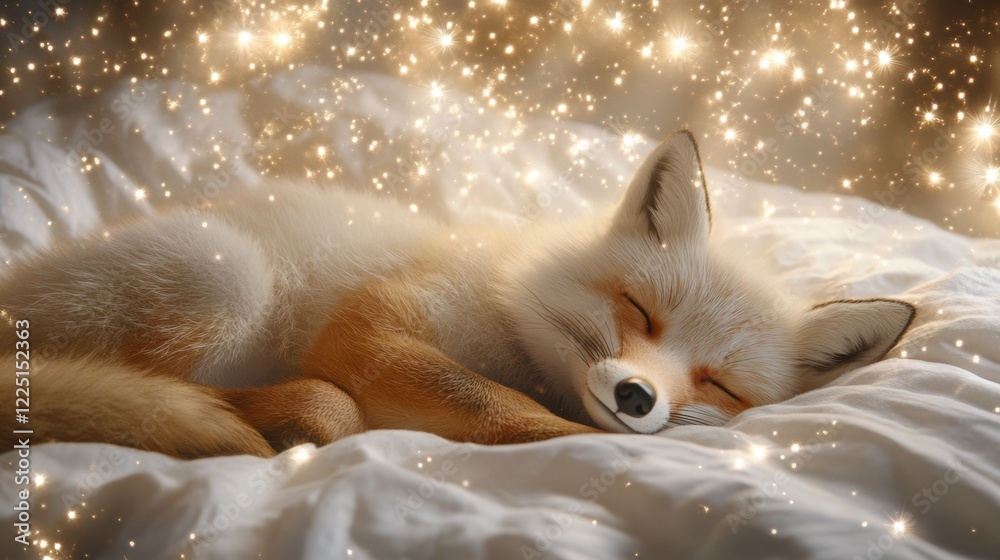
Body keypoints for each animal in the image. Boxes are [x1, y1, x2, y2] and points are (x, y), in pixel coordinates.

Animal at [0, 130, 915, 458]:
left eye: (718, 384)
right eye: (640, 312)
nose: (635, 395)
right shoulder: (371, 326)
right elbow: (503, 410)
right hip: (225, 277)